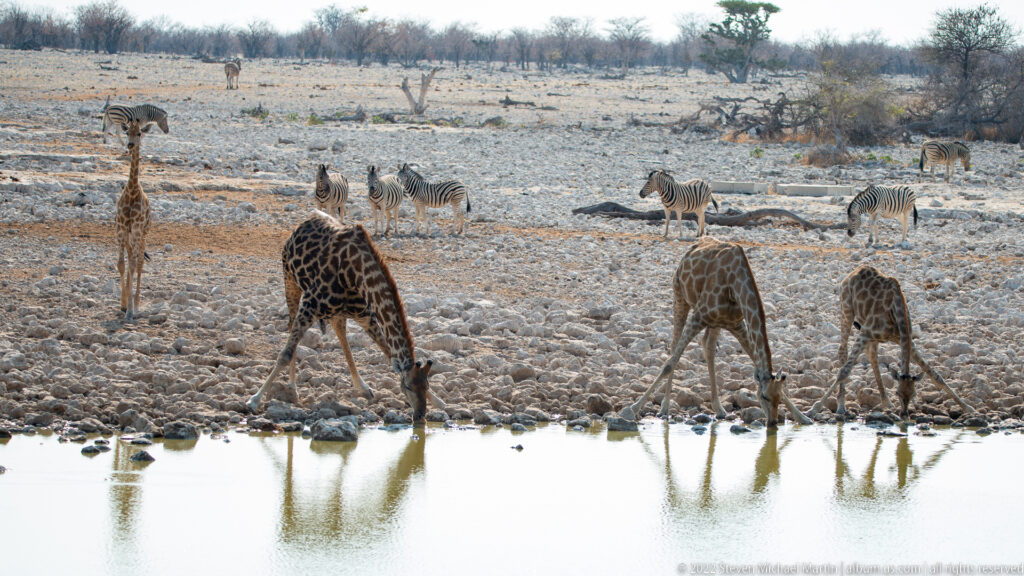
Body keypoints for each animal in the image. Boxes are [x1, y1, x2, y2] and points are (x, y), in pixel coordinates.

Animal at [246, 212, 446, 421]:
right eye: (407, 386)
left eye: (427, 385)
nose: (420, 415)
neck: (354, 274)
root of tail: (306, 221)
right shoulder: (309, 305)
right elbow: (285, 354)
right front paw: (254, 400)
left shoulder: (365, 315)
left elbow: (387, 350)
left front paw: (438, 401)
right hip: (290, 281)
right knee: (292, 330)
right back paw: (292, 388)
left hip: (337, 311)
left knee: (339, 330)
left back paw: (363, 388)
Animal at [619, 237, 812, 427]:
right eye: (764, 396)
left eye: (778, 398)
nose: (772, 422)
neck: (735, 287)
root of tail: (692, 248)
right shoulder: (699, 316)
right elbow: (669, 363)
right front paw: (632, 409)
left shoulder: (737, 324)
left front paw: (803, 417)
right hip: (680, 296)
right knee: (674, 346)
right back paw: (664, 407)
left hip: (715, 322)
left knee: (708, 347)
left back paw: (718, 408)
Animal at [808, 265, 976, 419]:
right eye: (897, 392)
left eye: (914, 394)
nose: (904, 414)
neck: (896, 312)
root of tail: (854, 271)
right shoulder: (865, 332)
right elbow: (844, 371)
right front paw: (813, 409)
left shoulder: (905, 340)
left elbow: (934, 374)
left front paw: (968, 408)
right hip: (847, 310)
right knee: (843, 352)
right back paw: (842, 406)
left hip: (868, 331)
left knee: (872, 355)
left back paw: (886, 403)